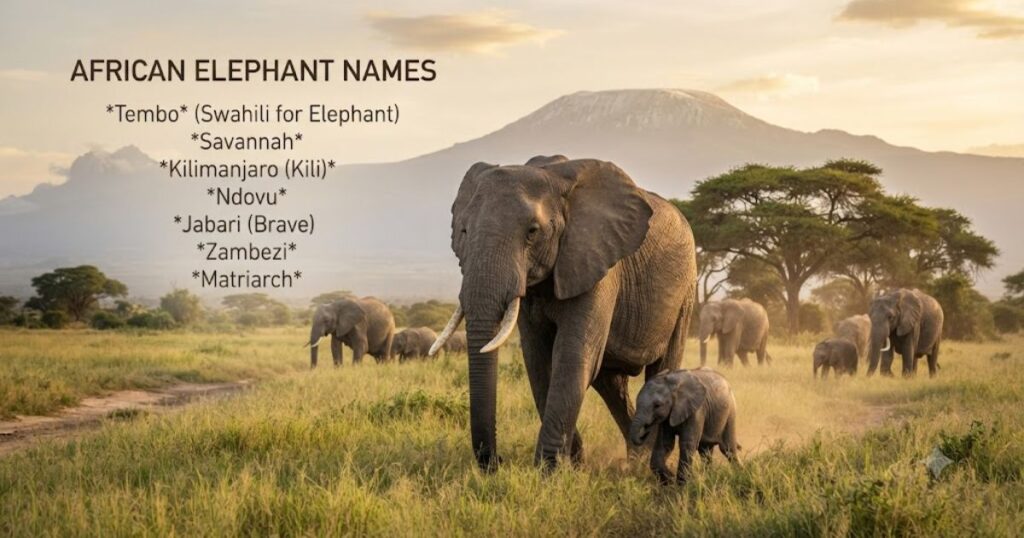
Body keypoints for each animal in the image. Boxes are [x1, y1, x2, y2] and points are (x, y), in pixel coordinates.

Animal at [429, 155, 697, 471]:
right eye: (464, 232)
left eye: (532, 232)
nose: (497, 462)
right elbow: (538, 361)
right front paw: (572, 465)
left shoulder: (595, 261)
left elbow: (571, 357)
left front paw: (548, 471)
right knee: (610, 384)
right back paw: (635, 459)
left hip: (685, 292)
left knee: (661, 367)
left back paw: (646, 465)